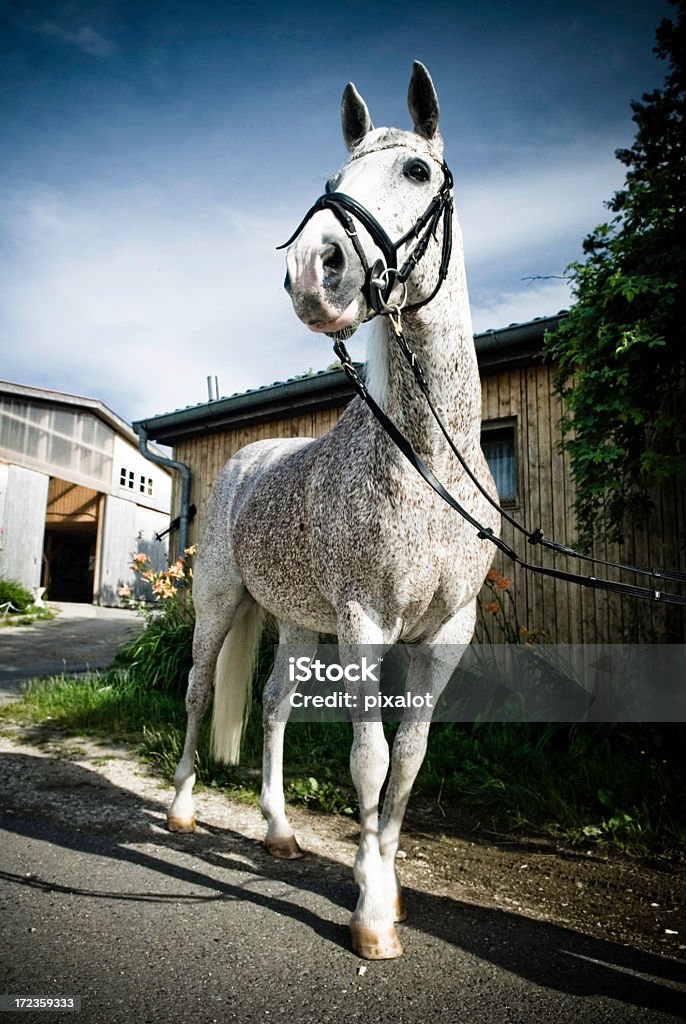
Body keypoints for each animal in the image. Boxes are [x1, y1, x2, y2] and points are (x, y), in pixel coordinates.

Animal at [166, 61, 499, 958]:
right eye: (331, 182)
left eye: (416, 170)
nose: (314, 271)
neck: (423, 464)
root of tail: (244, 462)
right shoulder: (364, 624)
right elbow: (369, 760)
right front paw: (372, 912)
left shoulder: (444, 634)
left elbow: (409, 760)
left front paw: (380, 877)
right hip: (220, 606)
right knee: (199, 693)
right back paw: (180, 809)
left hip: (292, 622)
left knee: (275, 706)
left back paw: (279, 831)